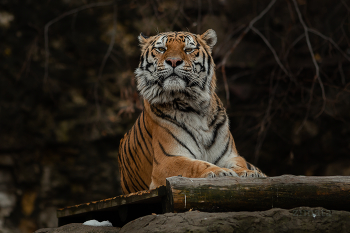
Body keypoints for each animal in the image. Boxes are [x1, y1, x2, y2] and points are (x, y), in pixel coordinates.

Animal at [117, 28, 266, 194]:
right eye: (161, 49)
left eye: (188, 50)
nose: (173, 61)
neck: (194, 106)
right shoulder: (167, 160)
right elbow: (195, 164)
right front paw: (219, 171)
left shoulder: (229, 156)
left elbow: (240, 163)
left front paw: (248, 172)